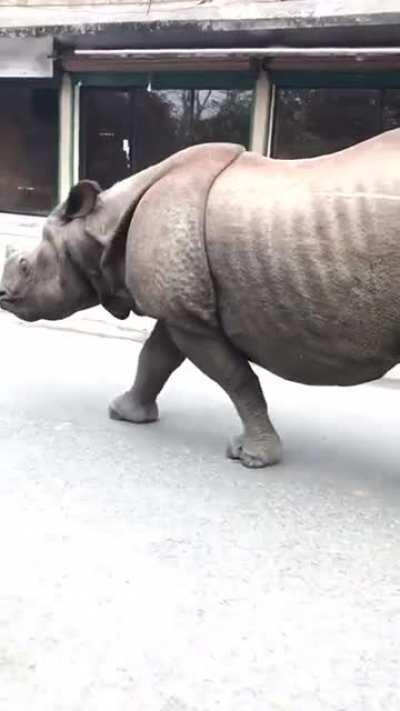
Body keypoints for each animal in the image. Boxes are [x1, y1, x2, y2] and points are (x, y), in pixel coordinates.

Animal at [1, 132, 400, 468]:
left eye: (25, 266)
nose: (3, 296)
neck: (98, 228)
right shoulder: (180, 310)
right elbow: (155, 358)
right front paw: (125, 413)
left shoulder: (190, 320)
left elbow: (236, 378)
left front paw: (252, 458)